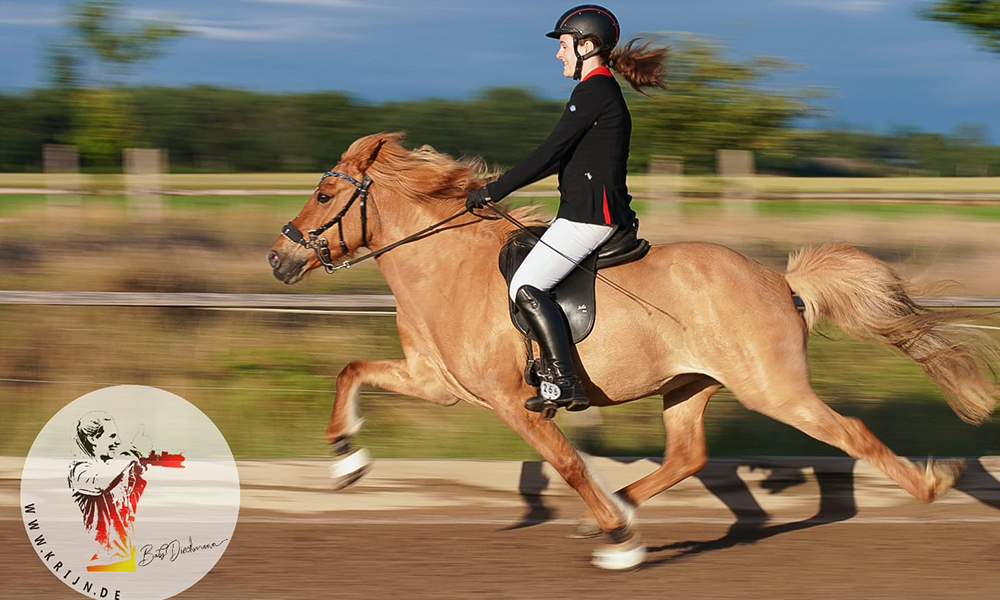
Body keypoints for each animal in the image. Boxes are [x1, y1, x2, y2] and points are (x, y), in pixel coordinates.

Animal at [268, 132, 1000, 572]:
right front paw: (347, 461)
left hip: (773, 388)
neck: (444, 263)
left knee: (849, 433)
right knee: (688, 456)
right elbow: (352, 370)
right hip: (688, 385)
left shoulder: (509, 400)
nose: (279, 258)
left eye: (326, 194)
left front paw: (621, 543)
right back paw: (620, 507)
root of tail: (779, 281)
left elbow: (565, 463)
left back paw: (930, 484)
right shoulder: (436, 381)